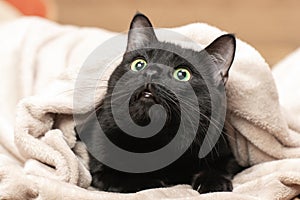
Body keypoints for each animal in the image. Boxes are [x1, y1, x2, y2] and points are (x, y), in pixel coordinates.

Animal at [76, 12, 243, 194]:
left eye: (182, 74)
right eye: (139, 64)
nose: (151, 72)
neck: (157, 139)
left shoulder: (225, 153)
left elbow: (219, 167)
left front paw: (213, 182)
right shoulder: (102, 162)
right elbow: (124, 177)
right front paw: (153, 182)